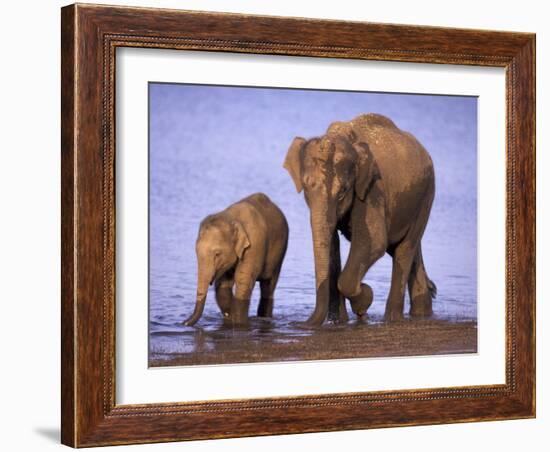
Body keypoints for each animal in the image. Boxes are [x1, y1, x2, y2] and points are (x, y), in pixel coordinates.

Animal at [184, 192, 288, 326]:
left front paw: (238, 322)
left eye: (217, 254)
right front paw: (230, 317)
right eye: (196, 252)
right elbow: (223, 285)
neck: (231, 218)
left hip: (280, 254)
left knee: (268, 286)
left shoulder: (254, 246)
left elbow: (243, 281)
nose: (183, 323)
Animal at [286, 113, 438, 324]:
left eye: (343, 192)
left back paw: (392, 318)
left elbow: (374, 241)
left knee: (404, 249)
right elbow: (332, 245)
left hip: (427, 195)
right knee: (408, 248)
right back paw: (422, 312)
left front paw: (364, 298)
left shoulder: (372, 188)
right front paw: (340, 321)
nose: (302, 324)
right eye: (307, 187)